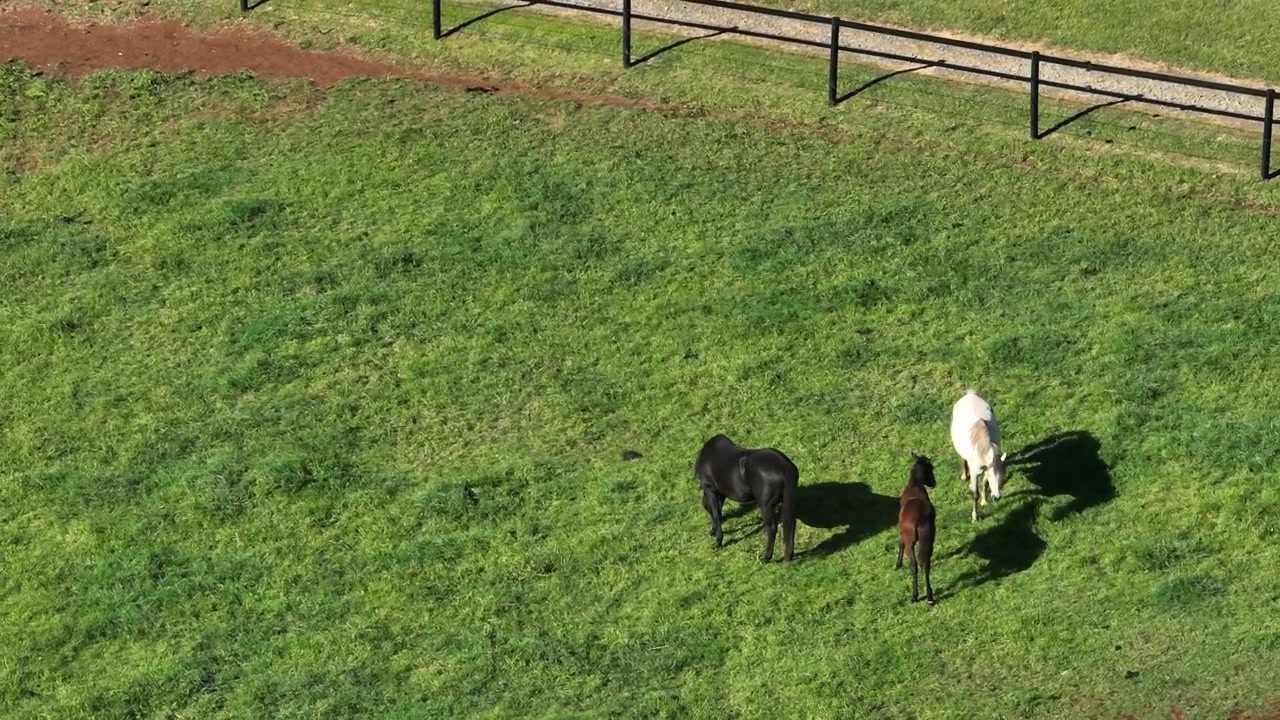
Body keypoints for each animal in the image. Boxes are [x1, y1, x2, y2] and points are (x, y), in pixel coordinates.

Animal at [693, 434, 798, 563]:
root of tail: (785, 467)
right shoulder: (720, 492)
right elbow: (718, 510)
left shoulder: (710, 489)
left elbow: (716, 515)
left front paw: (718, 542)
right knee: (790, 524)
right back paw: (789, 555)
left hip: (766, 506)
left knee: (772, 528)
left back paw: (766, 557)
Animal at [896, 453, 937, 604]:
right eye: (931, 468)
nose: (934, 483)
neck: (915, 486)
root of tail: (920, 518)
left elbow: (900, 542)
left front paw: (898, 564)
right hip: (929, 539)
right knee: (925, 563)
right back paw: (930, 596)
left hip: (911, 543)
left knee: (914, 565)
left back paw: (915, 595)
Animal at [950, 389, 1007, 522]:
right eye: (992, 476)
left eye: (1002, 475)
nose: (997, 497)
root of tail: (970, 394)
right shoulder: (975, 474)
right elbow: (975, 493)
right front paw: (975, 517)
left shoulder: (987, 467)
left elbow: (984, 483)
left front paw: (984, 501)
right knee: (963, 459)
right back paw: (964, 476)